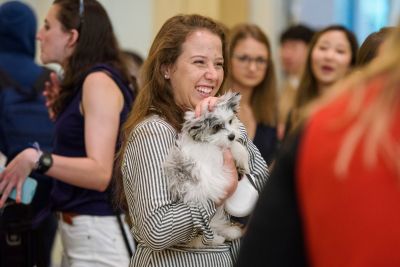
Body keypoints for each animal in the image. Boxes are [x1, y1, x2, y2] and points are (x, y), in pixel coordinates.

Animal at [164, 91, 248, 247]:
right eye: (217, 127)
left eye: (230, 121)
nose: (232, 135)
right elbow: (231, 147)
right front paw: (243, 160)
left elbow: (235, 146)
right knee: (203, 235)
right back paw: (219, 238)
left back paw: (230, 232)